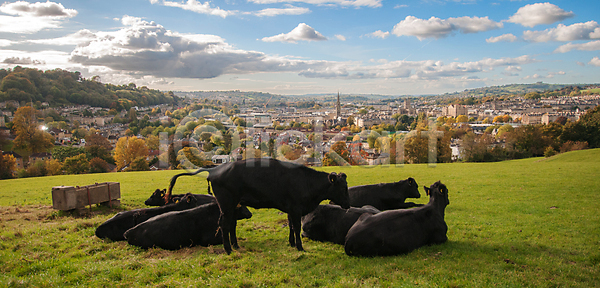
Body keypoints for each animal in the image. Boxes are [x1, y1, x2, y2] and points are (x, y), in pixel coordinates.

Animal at [165, 158, 352, 254]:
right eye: (343, 187)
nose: (348, 204)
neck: (307, 182)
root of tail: (215, 169)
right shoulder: (296, 209)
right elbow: (297, 227)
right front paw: (300, 247)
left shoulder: (290, 209)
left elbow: (291, 226)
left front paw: (292, 243)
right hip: (226, 203)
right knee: (224, 224)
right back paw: (228, 249)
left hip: (232, 205)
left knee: (231, 224)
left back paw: (235, 245)